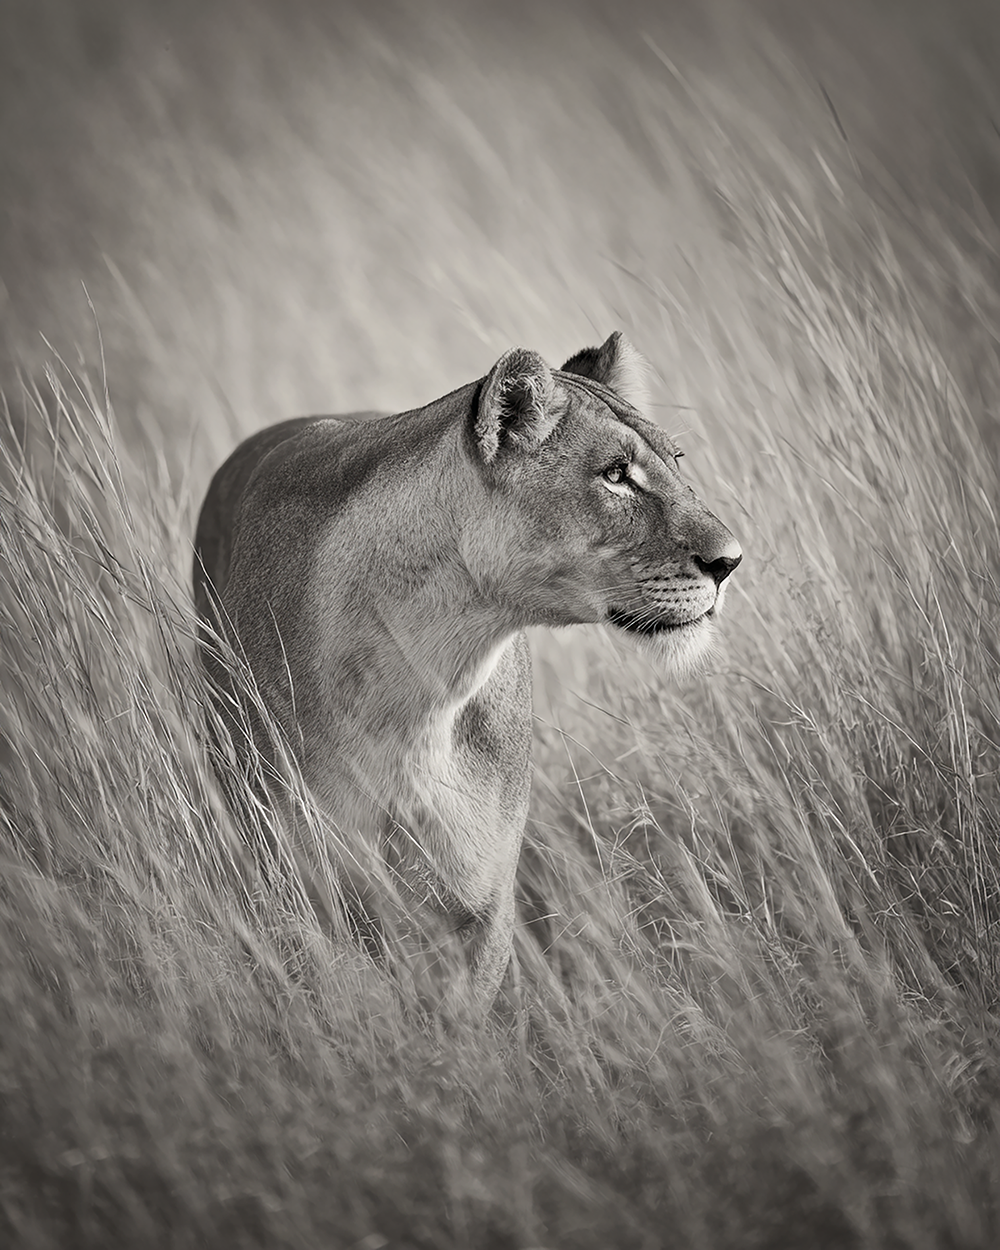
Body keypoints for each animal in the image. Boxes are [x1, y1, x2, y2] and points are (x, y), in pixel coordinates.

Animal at [193, 332, 742, 1004]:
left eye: (677, 460)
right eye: (616, 474)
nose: (731, 561)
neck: (419, 689)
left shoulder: (481, 904)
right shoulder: (295, 889)